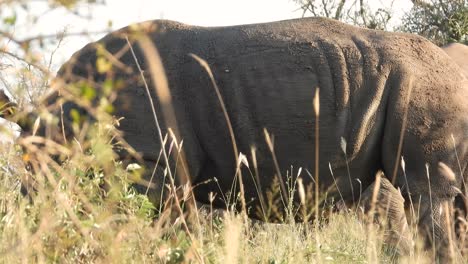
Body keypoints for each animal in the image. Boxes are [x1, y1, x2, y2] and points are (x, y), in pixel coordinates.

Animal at [13, 18, 468, 258]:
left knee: (425, 192)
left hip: (422, 81)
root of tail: (448, 62)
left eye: (44, 182)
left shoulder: (149, 164)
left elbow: (148, 228)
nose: (29, 225)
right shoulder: (162, 170)